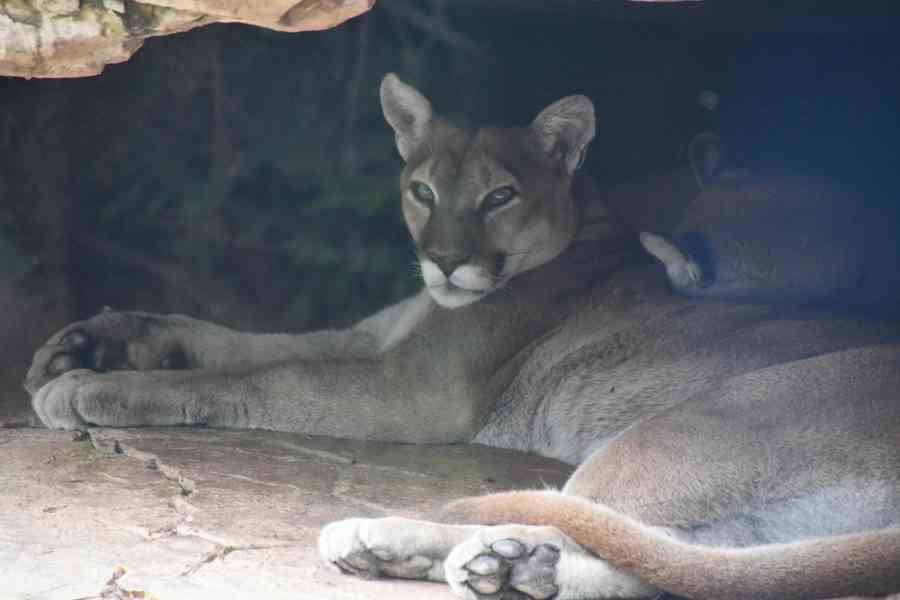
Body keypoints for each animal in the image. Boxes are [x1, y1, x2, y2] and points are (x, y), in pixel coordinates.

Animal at [24, 72, 900, 596]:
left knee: (583, 521)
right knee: (681, 569)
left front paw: (88, 388)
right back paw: (484, 565)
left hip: (691, 427)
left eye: (500, 196)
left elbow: (248, 381)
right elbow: (242, 341)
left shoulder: (404, 390)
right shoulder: (372, 341)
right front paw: (90, 340)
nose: (444, 262)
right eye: (422, 189)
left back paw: (417, 543)